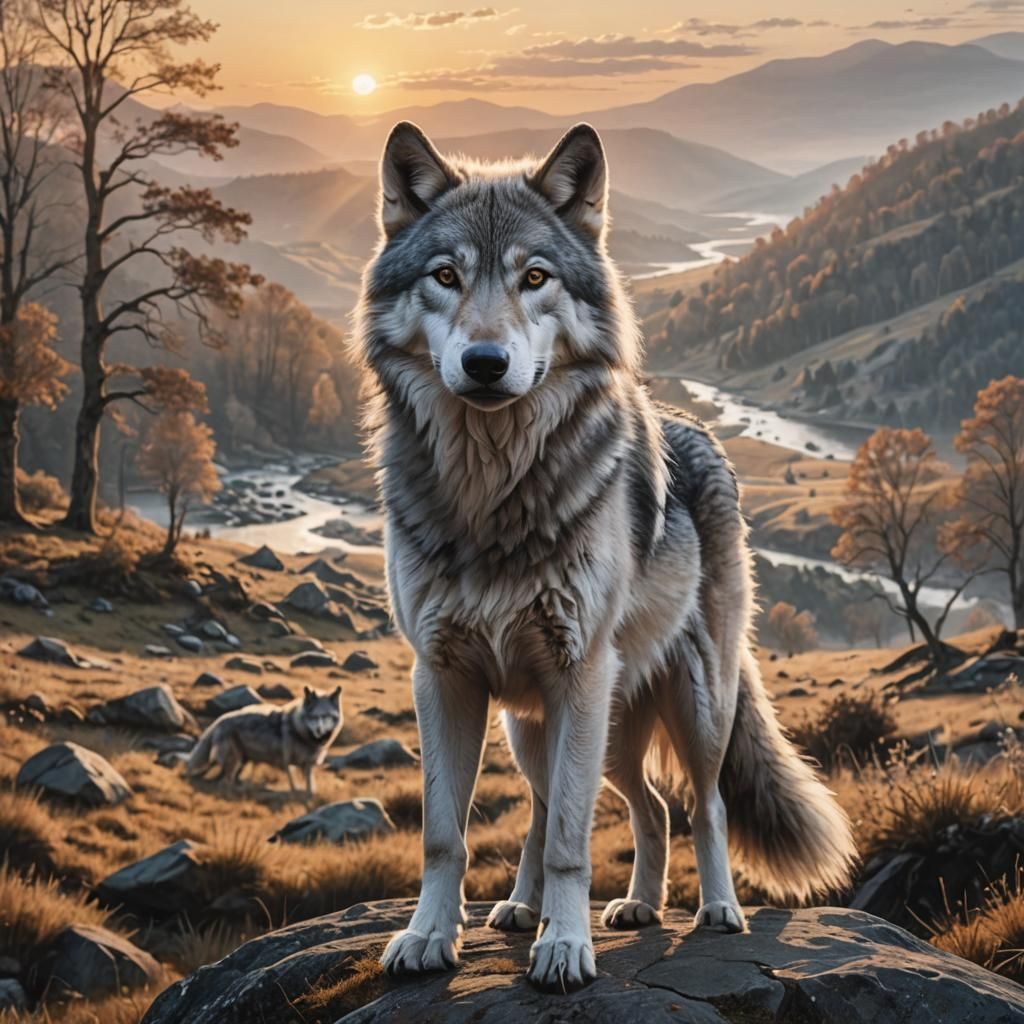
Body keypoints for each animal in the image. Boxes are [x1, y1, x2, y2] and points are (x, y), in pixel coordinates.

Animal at [185, 686, 342, 800]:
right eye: (314, 717)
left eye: (327, 716)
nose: (319, 730)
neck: (300, 730)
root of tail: (220, 719)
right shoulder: (287, 763)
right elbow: (294, 786)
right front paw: (296, 795)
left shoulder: (307, 765)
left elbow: (310, 788)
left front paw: (309, 798)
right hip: (234, 761)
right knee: (223, 782)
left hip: (240, 761)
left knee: (221, 776)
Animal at [354, 120, 857, 991]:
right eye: (446, 275)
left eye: (535, 278)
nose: (485, 363)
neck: (492, 493)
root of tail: (700, 431)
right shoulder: (442, 677)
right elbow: (447, 834)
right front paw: (428, 938)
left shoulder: (577, 673)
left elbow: (569, 841)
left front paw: (564, 947)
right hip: (542, 729)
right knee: (615, 807)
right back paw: (590, 907)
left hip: (685, 704)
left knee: (697, 804)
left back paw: (714, 911)